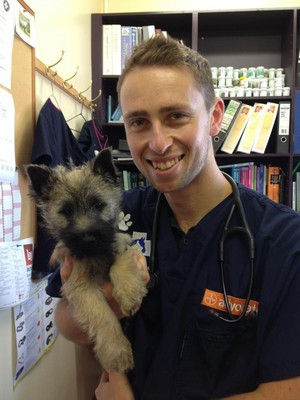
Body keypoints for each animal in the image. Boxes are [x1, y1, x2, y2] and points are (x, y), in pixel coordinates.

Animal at [24, 149, 148, 372]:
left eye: (98, 205)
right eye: (66, 211)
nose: (88, 238)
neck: (95, 253)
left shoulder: (125, 245)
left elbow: (120, 262)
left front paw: (129, 293)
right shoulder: (80, 287)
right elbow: (103, 316)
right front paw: (117, 351)